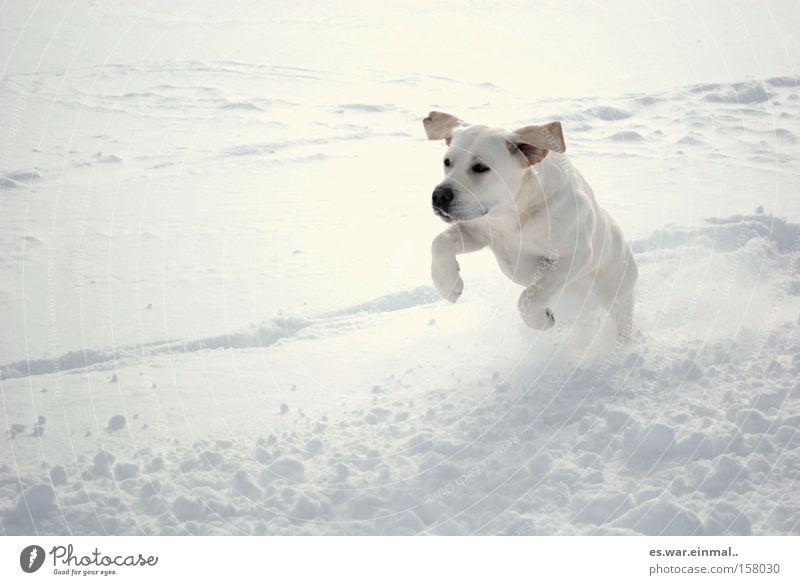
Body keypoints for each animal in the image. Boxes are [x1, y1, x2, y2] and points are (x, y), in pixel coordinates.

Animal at [424, 110, 636, 338]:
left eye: (480, 167)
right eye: (447, 162)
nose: (439, 196)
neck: (512, 215)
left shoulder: (574, 255)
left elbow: (529, 299)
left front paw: (541, 321)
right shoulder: (477, 232)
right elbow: (438, 243)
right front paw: (447, 284)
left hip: (618, 297)